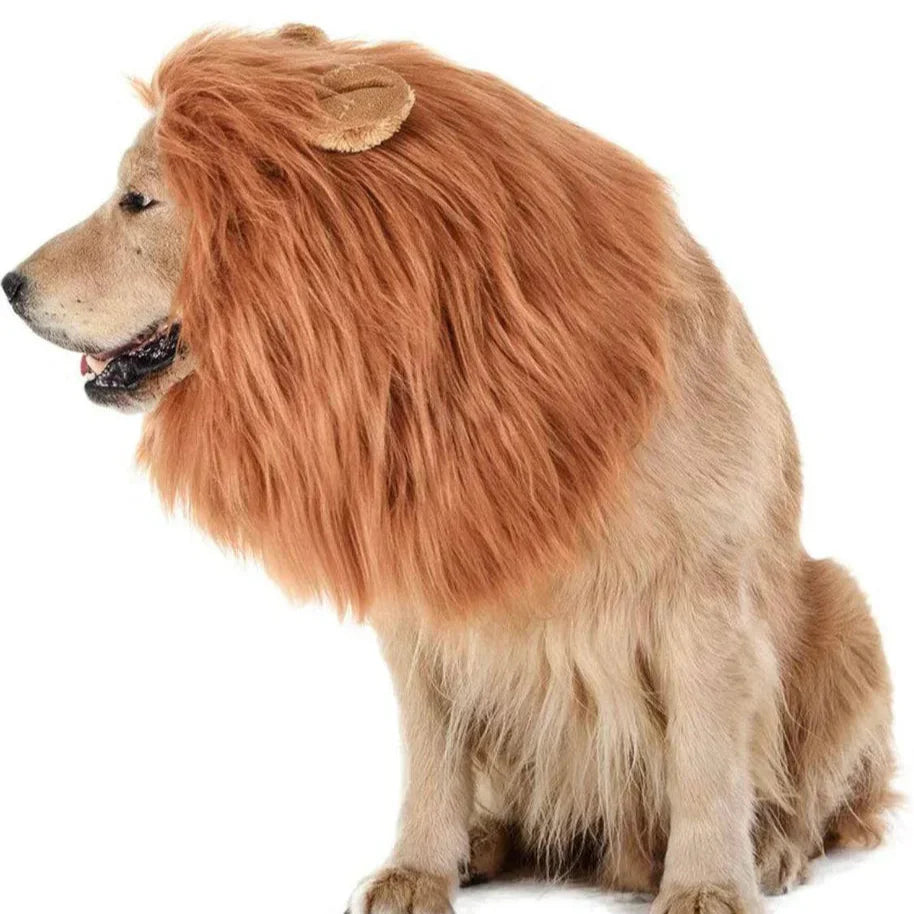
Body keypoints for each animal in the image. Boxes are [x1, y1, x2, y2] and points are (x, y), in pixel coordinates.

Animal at [4, 25, 895, 914]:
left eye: (136, 201)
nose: (10, 283)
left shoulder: (702, 596)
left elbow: (707, 759)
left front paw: (708, 886)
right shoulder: (424, 596)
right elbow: (433, 761)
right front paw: (417, 871)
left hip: (844, 607)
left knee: (817, 797)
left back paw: (772, 850)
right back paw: (487, 844)